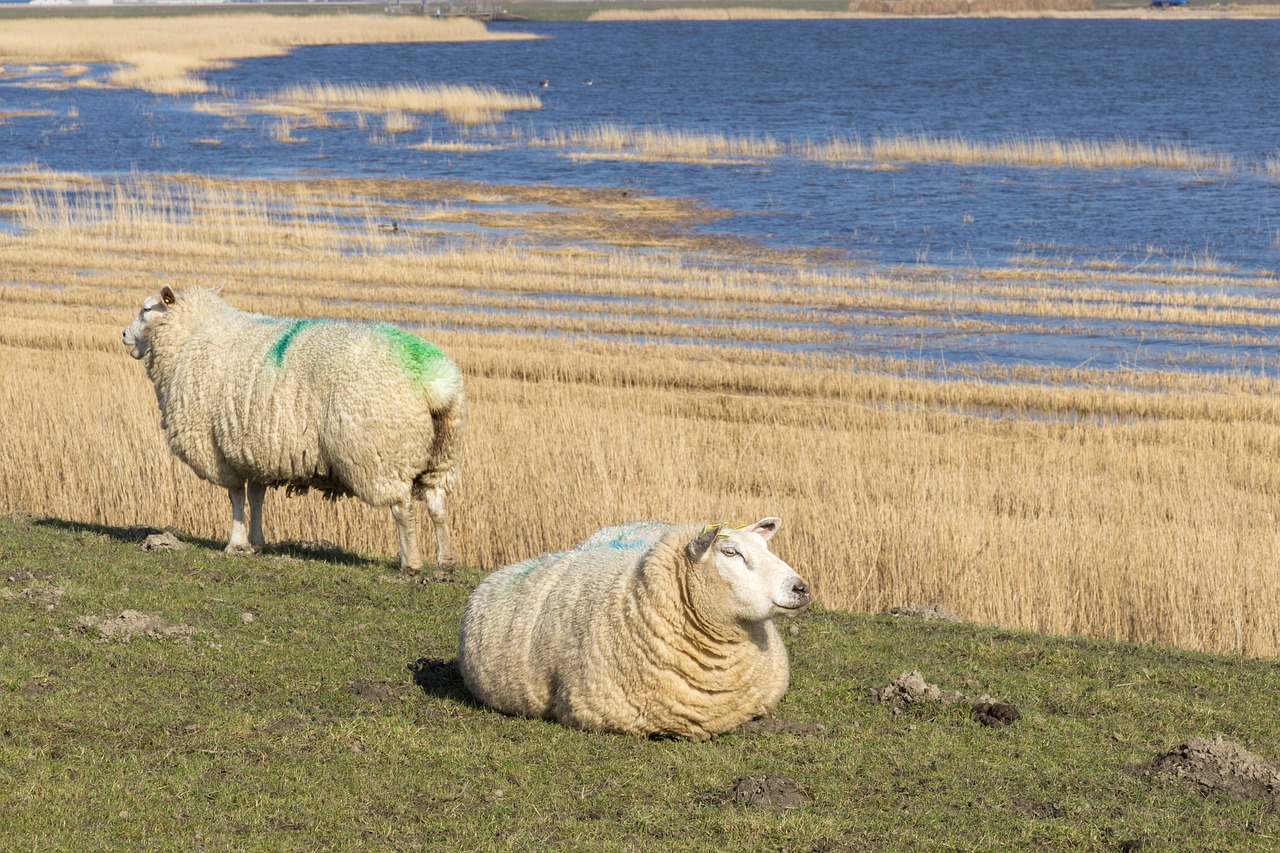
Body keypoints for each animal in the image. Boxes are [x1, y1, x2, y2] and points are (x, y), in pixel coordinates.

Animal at [120, 284, 465, 571]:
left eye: (147, 309)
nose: (123, 334)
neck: (189, 335)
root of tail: (435, 382)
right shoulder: (255, 449)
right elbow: (257, 495)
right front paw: (256, 542)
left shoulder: (220, 452)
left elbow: (236, 497)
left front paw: (235, 544)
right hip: (441, 453)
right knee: (437, 503)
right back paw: (445, 565)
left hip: (382, 453)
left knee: (402, 508)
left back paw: (412, 565)